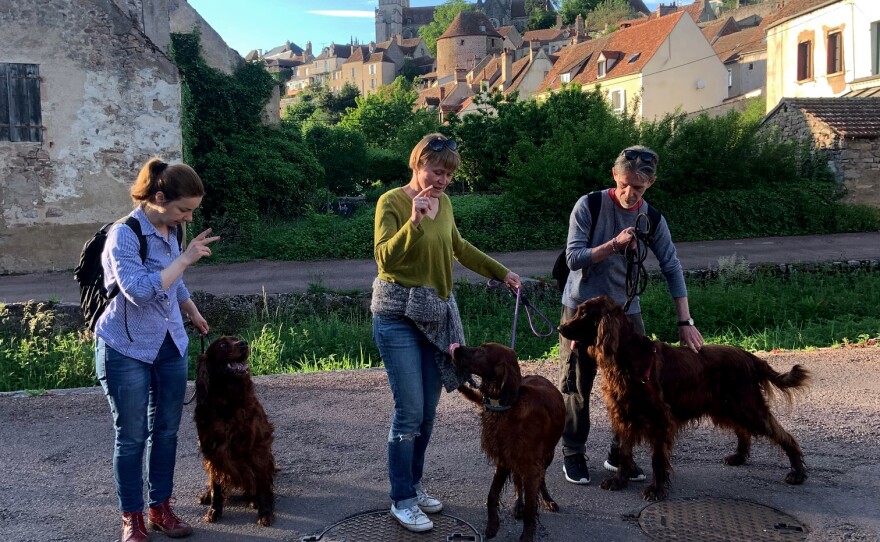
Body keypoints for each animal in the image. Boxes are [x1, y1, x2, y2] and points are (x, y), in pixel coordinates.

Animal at [194, 336, 276, 528]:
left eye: (238, 339)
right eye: (223, 344)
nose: (244, 343)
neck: (227, 401)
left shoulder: (257, 448)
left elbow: (262, 484)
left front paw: (265, 512)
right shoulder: (213, 450)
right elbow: (216, 485)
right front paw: (214, 510)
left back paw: (254, 499)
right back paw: (207, 495)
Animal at [450, 344, 568, 542]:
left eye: (481, 351)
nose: (456, 348)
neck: (507, 407)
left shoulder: (531, 465)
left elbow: (531, 508)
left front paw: (526, 536)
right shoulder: (503, 459)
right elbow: (492, 495)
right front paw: (492, 526)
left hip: (547, 455)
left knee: (541, 479)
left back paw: (547, 500)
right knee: (518, 481)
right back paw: (518, 504)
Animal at [560, 300, 808, 504]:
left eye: (585, 313)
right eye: (578, 311)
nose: (561, 328)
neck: (628, 356)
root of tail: (750, 357)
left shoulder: (659, 419)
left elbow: (658, 459)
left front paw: (656, 490)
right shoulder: (624, 414)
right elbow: (624, 452)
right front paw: (619, 480)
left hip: (746, 406)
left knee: (783, 435)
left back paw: (797, 472)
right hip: (726, 407)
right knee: (743, 430)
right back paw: (738, 456)